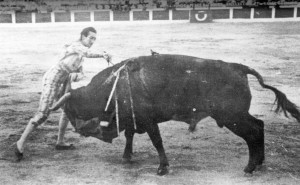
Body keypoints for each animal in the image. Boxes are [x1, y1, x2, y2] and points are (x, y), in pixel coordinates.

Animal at [51, 54, 300, 176]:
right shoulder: (134, 118)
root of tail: (238, 67)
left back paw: (250, 167)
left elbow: (156, 141)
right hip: (237, 116)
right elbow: (130, 136)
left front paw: (162, 168)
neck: (116, 83)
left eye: (71, 108)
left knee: (254, 132)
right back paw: (259, 162)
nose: (79, 130)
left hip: (232, 117)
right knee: (259, 126)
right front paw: (127, 156)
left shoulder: (149, 121)